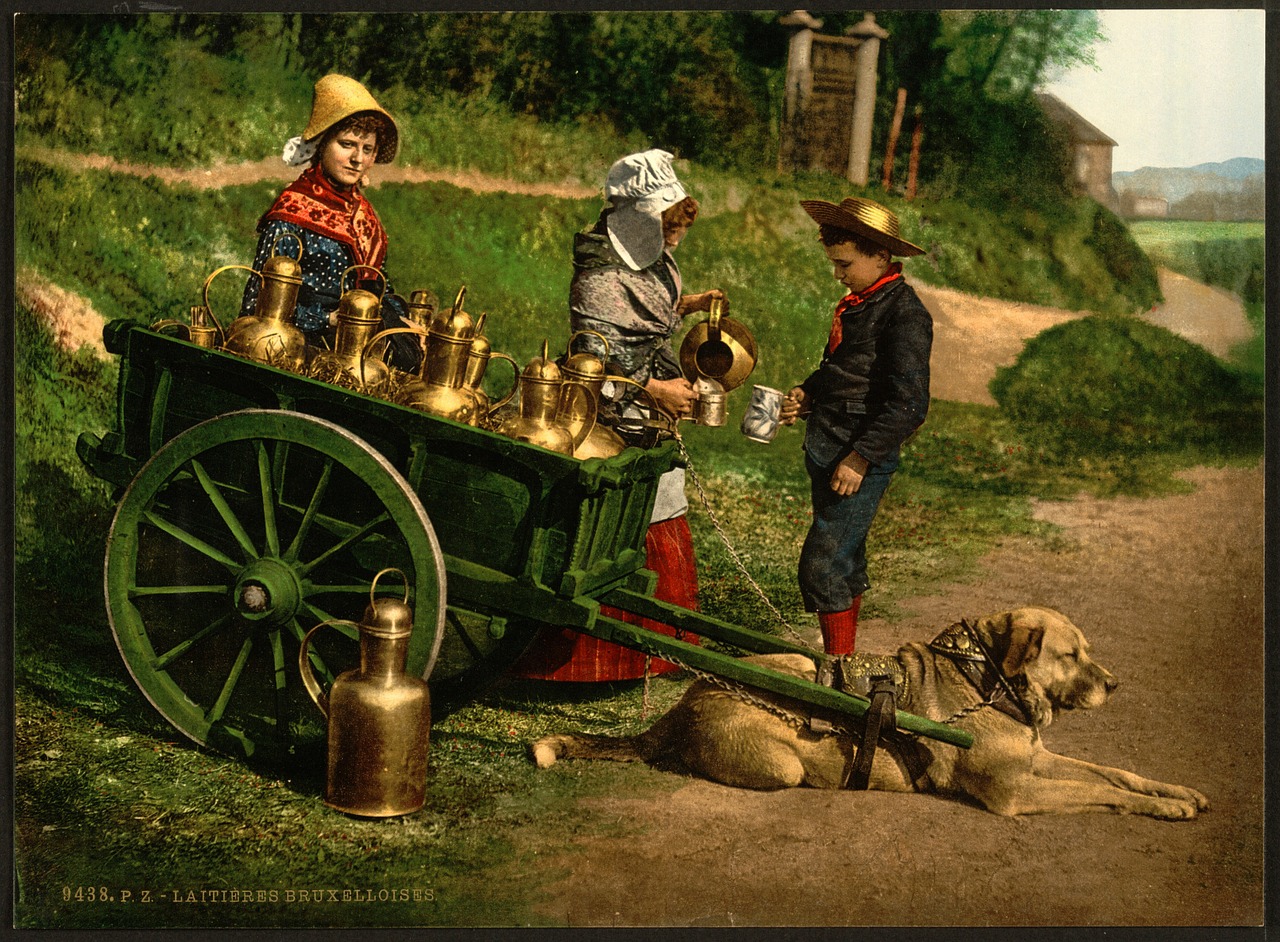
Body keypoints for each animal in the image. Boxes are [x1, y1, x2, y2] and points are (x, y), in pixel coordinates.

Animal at [529, 611, 1208, 819]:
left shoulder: (1038, 761)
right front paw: (1162, 808)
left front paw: (1177, 792)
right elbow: (1104, 792)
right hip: (781, 759)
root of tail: (685, 700)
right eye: (1071, 655)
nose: (1115, 684)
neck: (985, 680)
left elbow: (1116, 775)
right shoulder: (1016, 794)